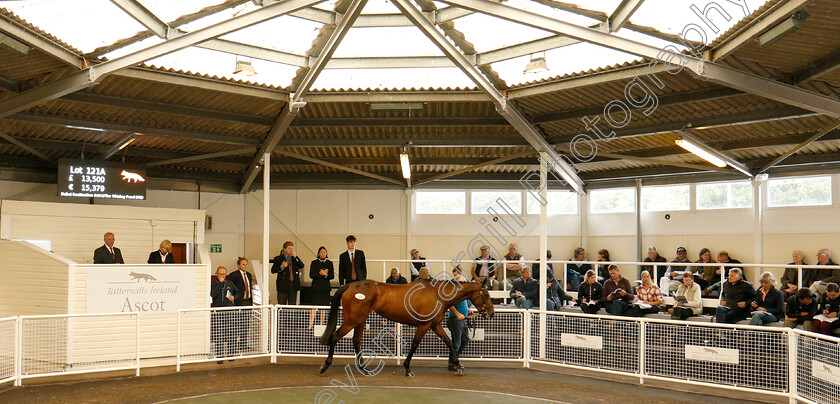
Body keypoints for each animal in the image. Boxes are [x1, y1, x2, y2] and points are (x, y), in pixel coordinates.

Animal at [320, 276, 492, 378]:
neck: (437, 295)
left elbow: (449, 342)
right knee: (335, 337)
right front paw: (408, 368)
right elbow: (415, 345)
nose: (491, 312)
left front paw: (458, 365)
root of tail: (350, 286)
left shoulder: (435, 325)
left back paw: (364, 369)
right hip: (351, 321)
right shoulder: (424, 325)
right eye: (486, 295)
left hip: (360, 320)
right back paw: (325, 365)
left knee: (356, 341)